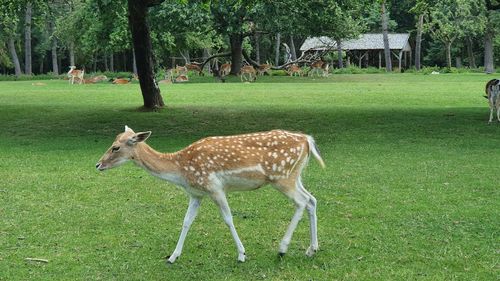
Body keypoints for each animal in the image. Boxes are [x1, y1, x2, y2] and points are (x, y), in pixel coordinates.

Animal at [96, 126, 326, 262]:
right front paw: (173, 256)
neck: (180, 170)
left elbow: (228, 219)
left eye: (115, 147)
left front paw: (241, 254)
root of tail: (307, 140)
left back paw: (282, 248)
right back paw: (311, 249)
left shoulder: (214, 187)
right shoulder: (196, 193)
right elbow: (186, 221)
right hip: (295, 175)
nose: (98, 164)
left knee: (302, 201)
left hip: (282, 177)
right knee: (312, 199)